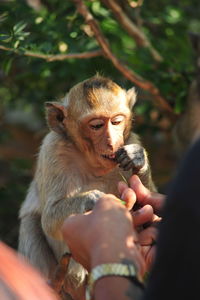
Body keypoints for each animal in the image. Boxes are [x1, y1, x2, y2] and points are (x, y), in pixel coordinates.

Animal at [18, 75, 156, 300]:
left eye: (117, 121)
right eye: (97, 125)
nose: (111, 142)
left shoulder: (131, 139)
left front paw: (137, 159)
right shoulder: (53, 150)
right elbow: (49, 218)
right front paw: (94, 200)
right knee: (31, 223)